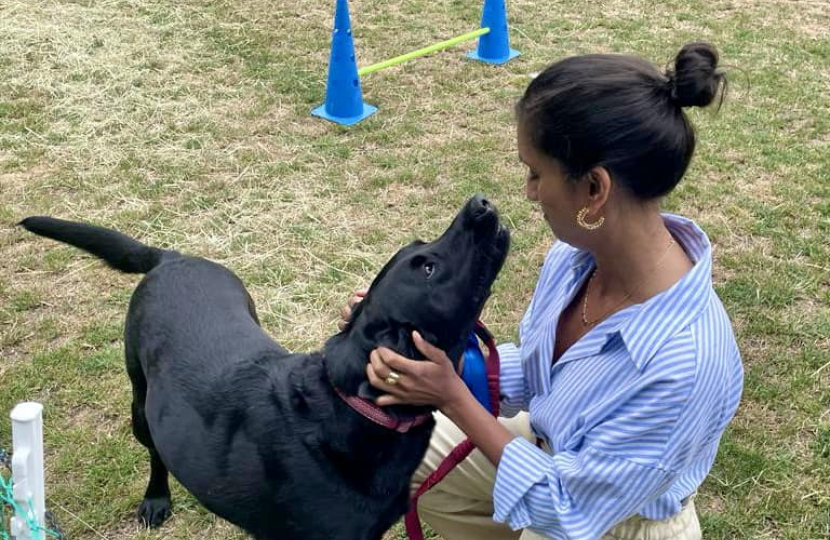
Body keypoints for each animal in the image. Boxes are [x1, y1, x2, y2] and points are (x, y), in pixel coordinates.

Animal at [19, 194, 510, 540]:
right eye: (427, 267)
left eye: (423, 253)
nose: (480, 202)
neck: (353, 411)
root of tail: (173, 258)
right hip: (141, 403)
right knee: (155, 450)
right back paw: (156, 498)